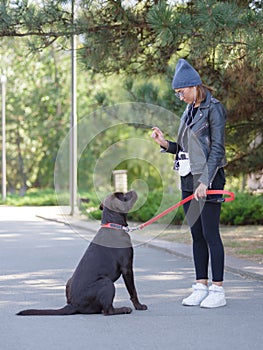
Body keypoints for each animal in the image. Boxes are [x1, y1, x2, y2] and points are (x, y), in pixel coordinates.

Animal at [17, 190, 147, 316]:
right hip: (106, 282)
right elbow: (133, 291)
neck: (113, 225)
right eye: (123, 195)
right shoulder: (127, 268)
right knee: (107, 311)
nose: (133, 190)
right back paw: (124, 309)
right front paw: (139, 306)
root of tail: (74, 305)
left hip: (70, 281)